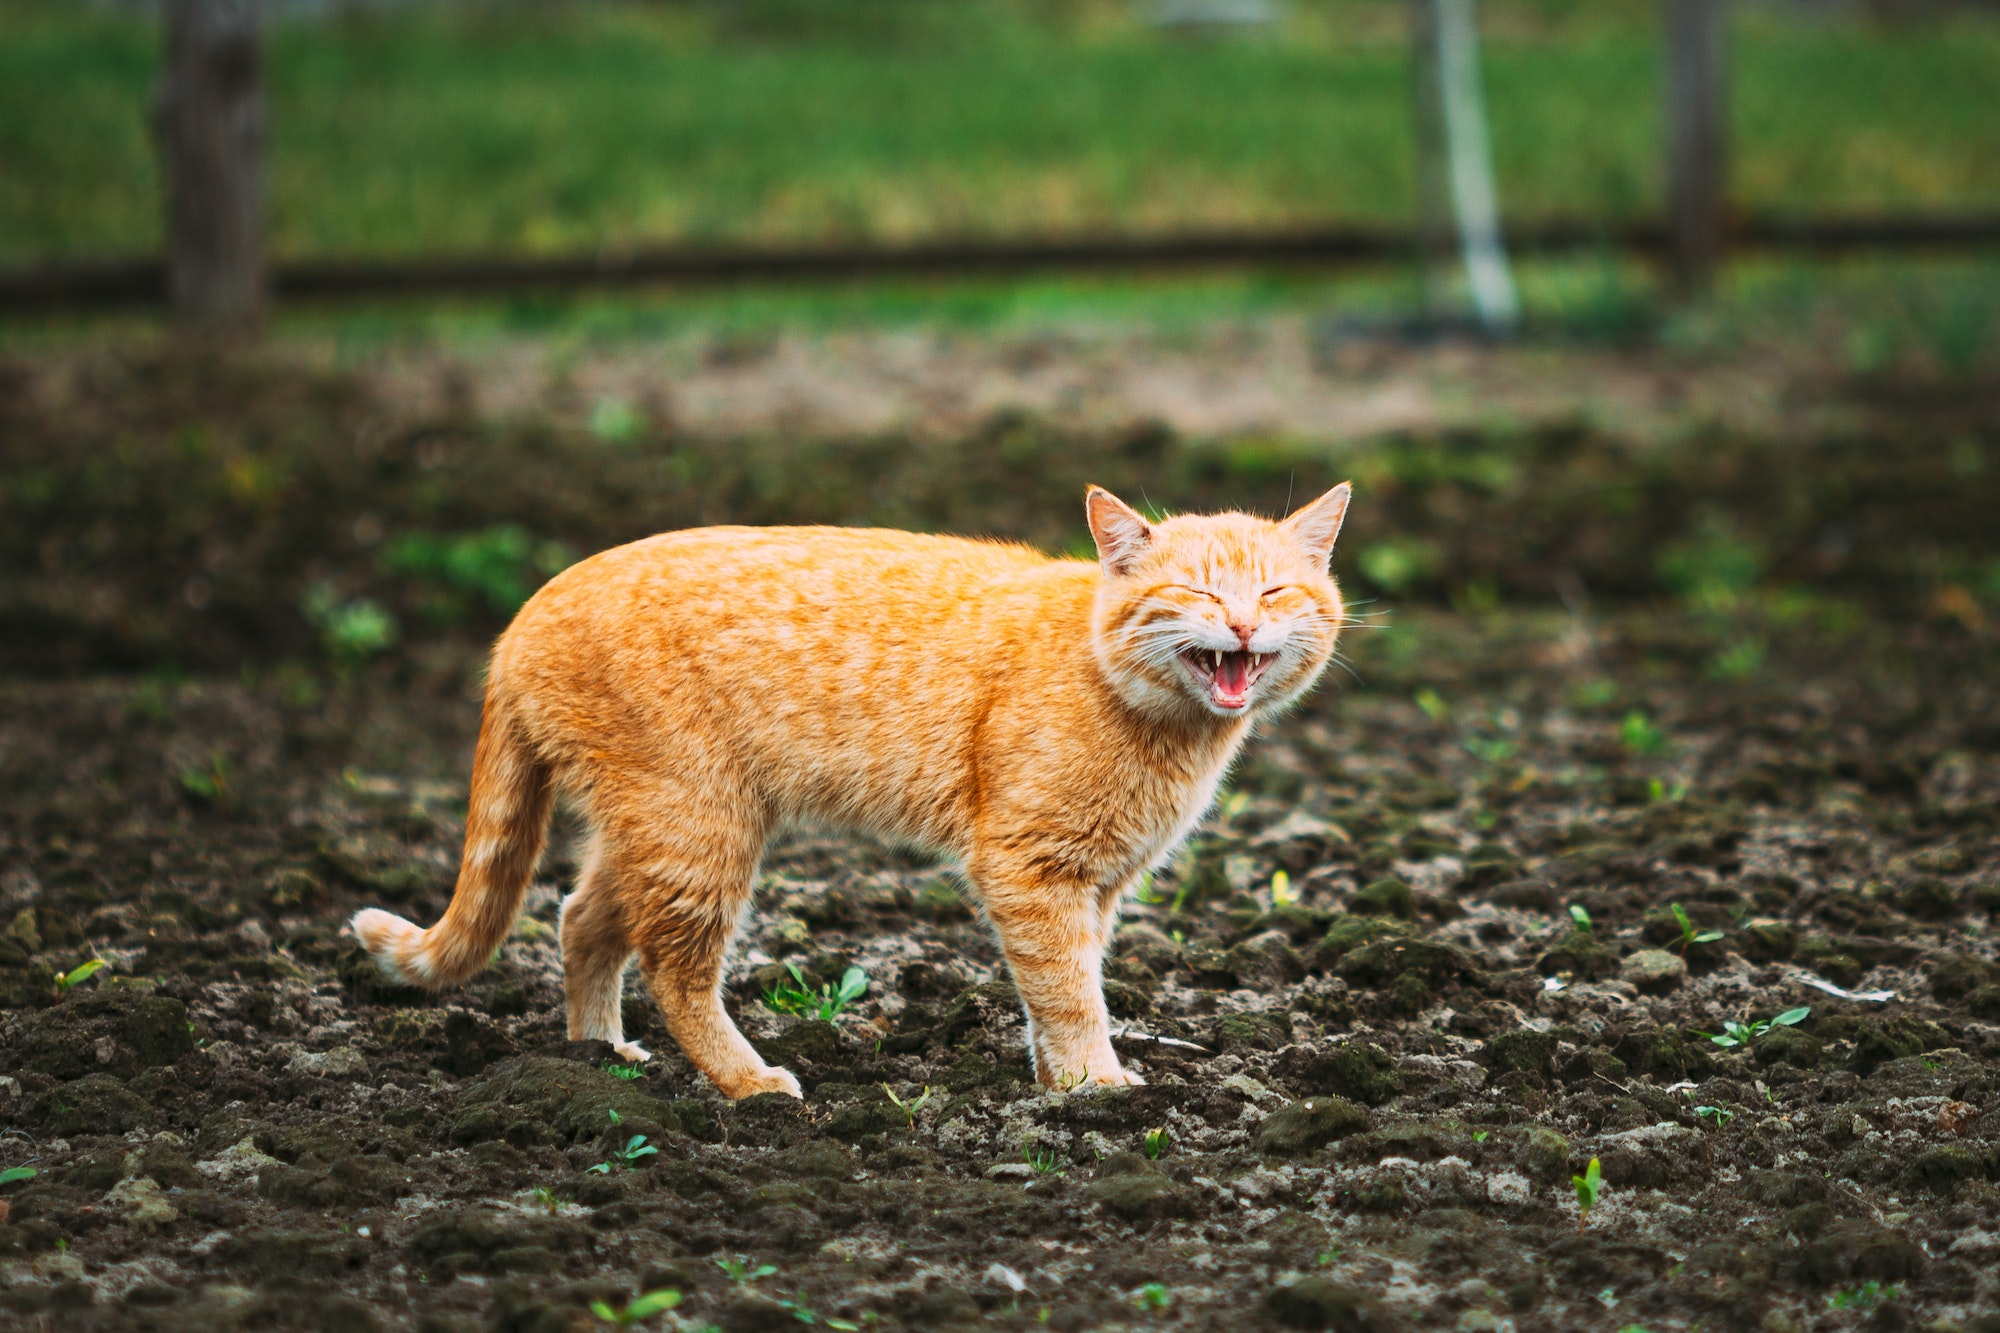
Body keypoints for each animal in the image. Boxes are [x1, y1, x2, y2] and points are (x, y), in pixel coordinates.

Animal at [360, 482, 1360, 1096]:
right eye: (1196, 590)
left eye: (1274, 591)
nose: (1241, 624)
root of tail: (527, 608)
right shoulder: (1030, 869)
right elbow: (1070, 989)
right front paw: (1092, 1088)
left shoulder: (1097, 883)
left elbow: (1065, 984)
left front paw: (1055, 1078)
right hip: (699, 827)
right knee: (674, 969)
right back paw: (746, 1081)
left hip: (656, 823)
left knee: (580, 918)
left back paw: (596, 1054)